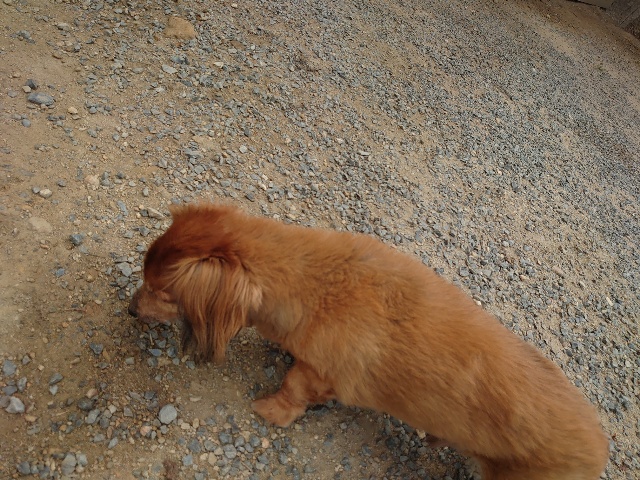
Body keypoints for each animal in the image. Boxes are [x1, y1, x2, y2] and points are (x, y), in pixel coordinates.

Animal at [128, 203, 609, 480]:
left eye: (161, 292)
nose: (131, 309)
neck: (314, 283)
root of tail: (601, 449)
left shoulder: (318, 374)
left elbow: (292, 391)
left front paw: (273, 410)